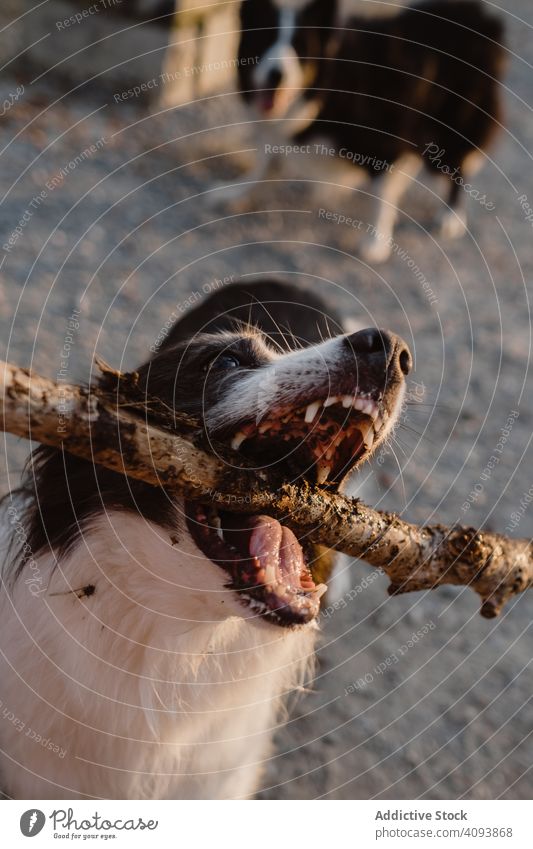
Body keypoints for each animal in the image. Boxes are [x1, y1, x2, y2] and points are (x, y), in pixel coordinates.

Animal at [210, 0, 504, 262]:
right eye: (265, 39)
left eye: (300, 48)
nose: (276, 74)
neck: (326, 89)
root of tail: (480, 16)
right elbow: (266, 164)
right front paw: (236, 191)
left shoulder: (384, 141)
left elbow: (381, 197)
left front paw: (376, 243)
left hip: (451, 123)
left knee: (456, 166)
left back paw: (451, 217)